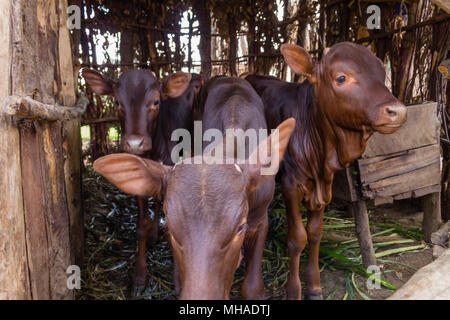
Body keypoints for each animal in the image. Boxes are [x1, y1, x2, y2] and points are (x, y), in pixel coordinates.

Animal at [246, 42, 408, 300]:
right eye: (341, 77)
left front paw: (314, 286)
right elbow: (297, 238)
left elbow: (315, 233)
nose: (398, 111)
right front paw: (294, 290)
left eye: (382, 74)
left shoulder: (325, 184)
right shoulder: (291, 185)